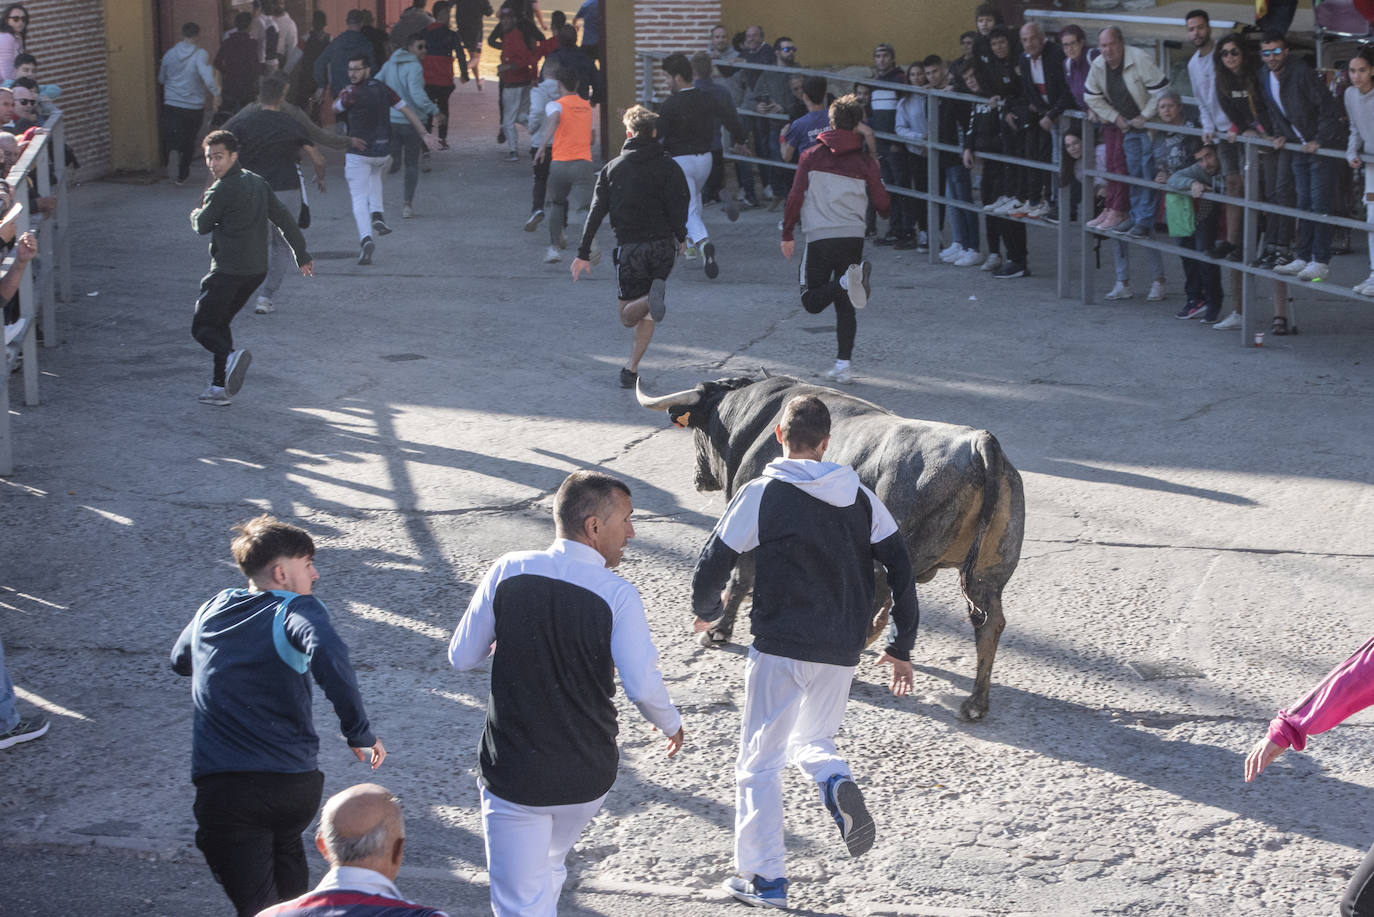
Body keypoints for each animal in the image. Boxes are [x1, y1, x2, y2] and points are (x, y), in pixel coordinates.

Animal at [637, 373, 1027, 725]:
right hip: (988, 574)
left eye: (698, 431)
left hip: (895, 560)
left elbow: (740, 577)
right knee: (987, 624)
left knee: (880, 611)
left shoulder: (750, 513)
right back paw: (975, 703)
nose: (699, 478)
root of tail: (981, 442)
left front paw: (718, 630)